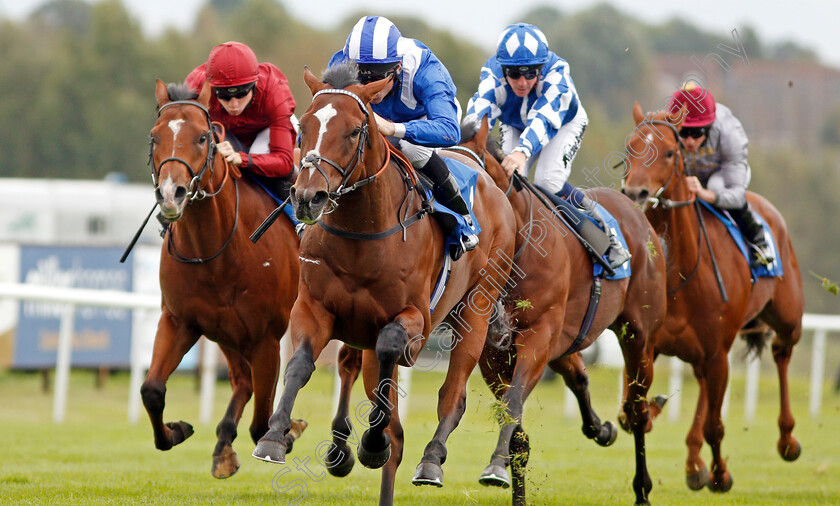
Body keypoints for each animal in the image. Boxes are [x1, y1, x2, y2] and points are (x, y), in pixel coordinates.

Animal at [140, 79, 306, 478]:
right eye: (154, 137)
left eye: (203, 137)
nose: (171, 194)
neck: (216, 250)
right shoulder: (179, 321)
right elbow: (151, 389)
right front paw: (177, 430)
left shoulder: (266, 338)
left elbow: (262, 424)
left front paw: (287, 432)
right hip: (227, 332)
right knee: (242, 381)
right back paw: (223, 443)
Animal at [246, 64, 516, 506]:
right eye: (302, 126)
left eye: (355, 130)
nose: (307, 197)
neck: (364, 233)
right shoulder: (314, 307)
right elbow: (301, 364)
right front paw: (273, 437)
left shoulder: (415, 322)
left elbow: (390, 355)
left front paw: (372, 444)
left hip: (475, 309)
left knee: (451, 394)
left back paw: (431, 461)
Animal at [450, 120, 668, 504]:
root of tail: (635, 212)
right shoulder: (494, 352)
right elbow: (517, 430)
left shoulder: (538, 337)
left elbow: (513, 405)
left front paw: (494, 468)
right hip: (566, 340)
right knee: (580, 377)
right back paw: (601, 429)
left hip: (638, 335)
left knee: (638, 410)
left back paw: (642, 489)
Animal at [620, 101, 804, 492]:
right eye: (630, 147)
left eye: (669, 152)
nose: (635, 193)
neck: (680, 271)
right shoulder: (649, 344)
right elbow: (632, 410)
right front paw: (654, 408)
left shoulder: (719, 352)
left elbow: (715, 427)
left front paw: (721, 474)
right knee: (704, 384)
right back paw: (693, 462)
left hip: (787, 318)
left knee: (781, 352)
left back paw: (787, 439)